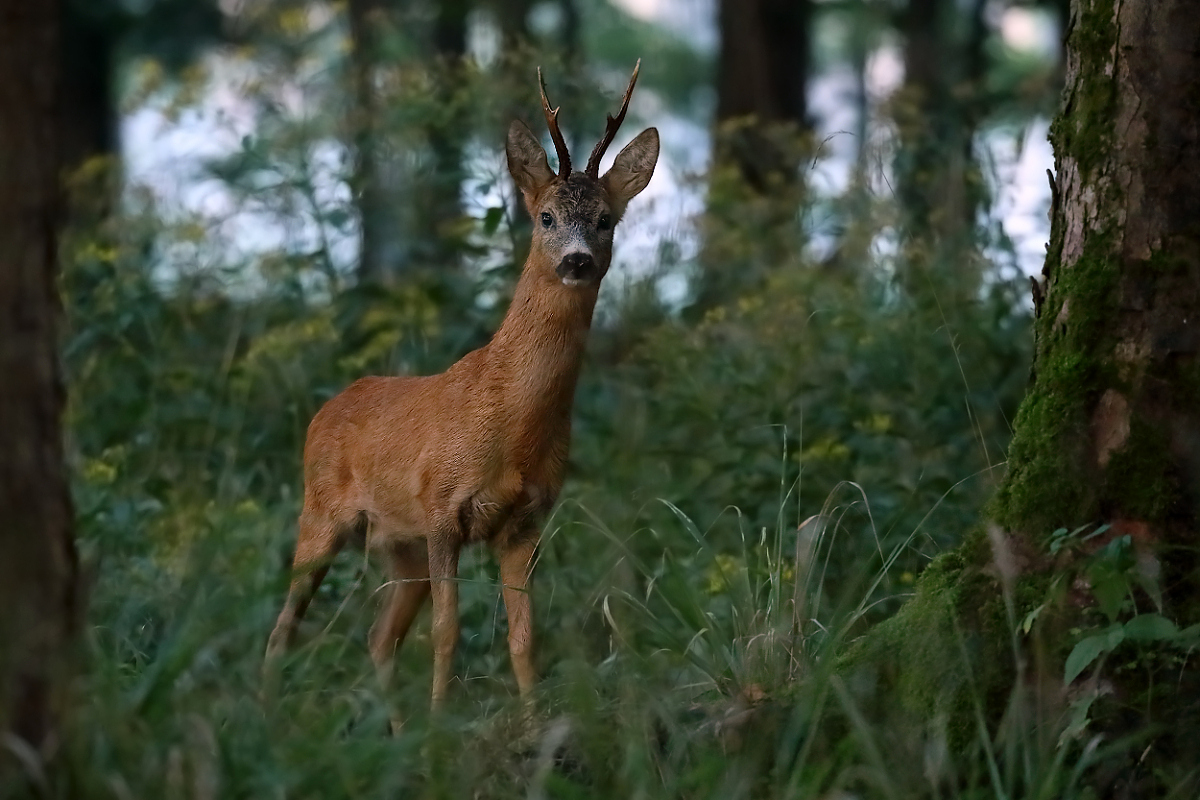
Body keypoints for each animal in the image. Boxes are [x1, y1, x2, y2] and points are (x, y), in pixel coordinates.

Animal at [264, 59, 662, 714]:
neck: (510, 423)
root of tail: (328, 407)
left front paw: (531, 724)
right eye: (547, 217)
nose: (577, 260)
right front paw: (440, 727)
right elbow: (447, 633)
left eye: (606, 221)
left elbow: (524, 637)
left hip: (398, 545)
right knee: (284, 628)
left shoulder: (525, 522)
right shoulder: (442, 510)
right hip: (320, 512)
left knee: (379, 636)